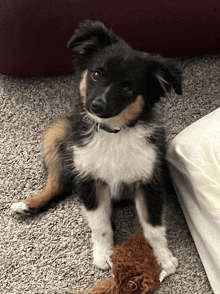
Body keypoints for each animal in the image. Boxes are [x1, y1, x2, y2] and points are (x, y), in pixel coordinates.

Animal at [12, 20, 183, 278]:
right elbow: (100, 224)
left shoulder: (148, 179)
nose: (96, 105)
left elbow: (153, 226)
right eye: (96, 74)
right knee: (58, 183)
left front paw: (162, 258)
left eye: (127, 88)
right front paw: (104, 255)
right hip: (56, 135)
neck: (112, 133)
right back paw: (29, 204)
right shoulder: (90, 179)